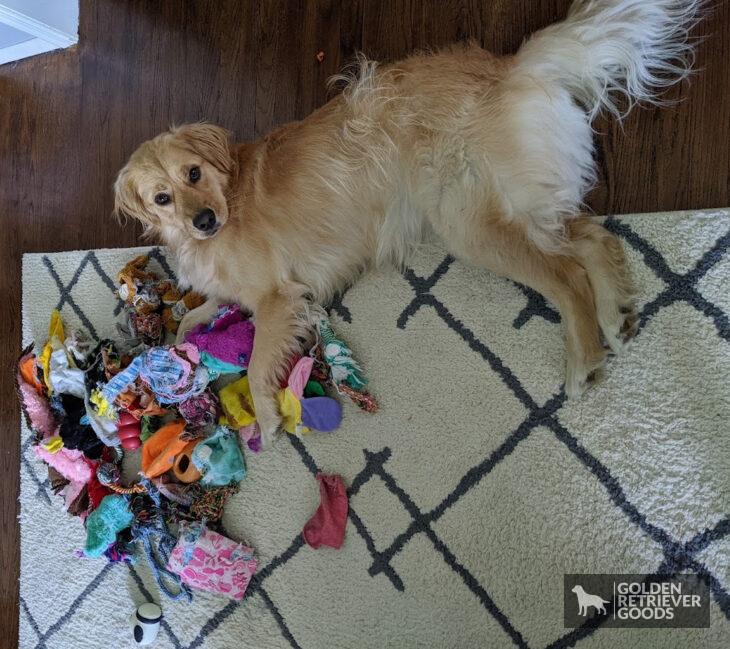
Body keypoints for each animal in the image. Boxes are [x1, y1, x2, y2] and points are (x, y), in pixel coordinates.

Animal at [114, 0, 700, 446]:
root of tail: (511, 66)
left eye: (193, 173)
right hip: (519, 206)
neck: (227, 198)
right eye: (162, 198)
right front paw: (178, 339)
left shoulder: (279, 298)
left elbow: (258, 363)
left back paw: (583, 361)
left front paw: (268, 416)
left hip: (471, 224)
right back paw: (617, 317)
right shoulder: (234, 291)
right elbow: (193, 315)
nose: (205, 220)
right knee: (594, 239)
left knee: (567, 275)